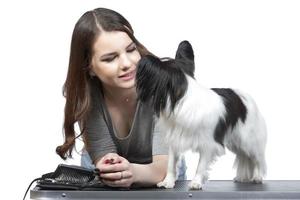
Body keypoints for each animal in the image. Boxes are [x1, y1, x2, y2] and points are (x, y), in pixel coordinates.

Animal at [136, 40, 268, 189]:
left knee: (256, 158)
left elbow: (201, 165)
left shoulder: (208, 144)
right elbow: (171, 163)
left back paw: (257, 177)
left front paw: (196, 183)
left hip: (248, 140)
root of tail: (247, 98)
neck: (183, 97)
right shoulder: (174, 140)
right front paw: (168, 182)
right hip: (236, 142)